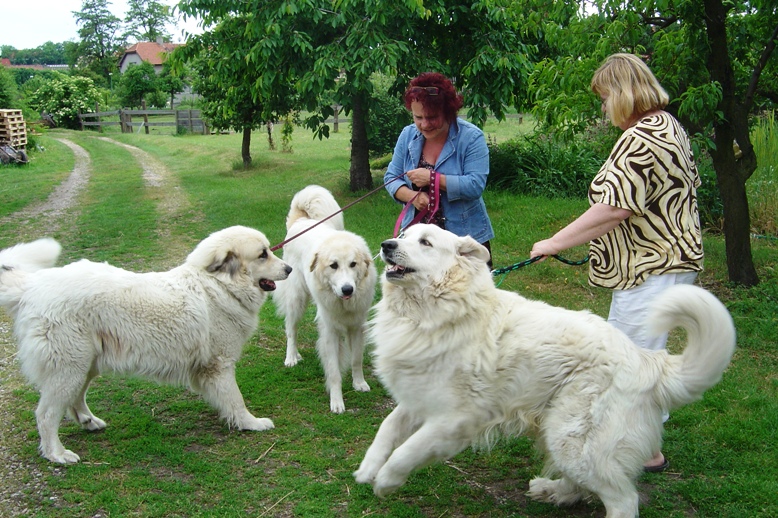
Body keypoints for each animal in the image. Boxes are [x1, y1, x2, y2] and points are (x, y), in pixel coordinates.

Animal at [0, 228, 292, 468]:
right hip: (68, 367)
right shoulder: (220, 366)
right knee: (46, 414)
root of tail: (32, 286)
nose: (289, 268)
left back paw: (89, 421)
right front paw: (251, 423)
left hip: (84, 365)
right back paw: (57, 454)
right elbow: (236, 400)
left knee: (75, 398)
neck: (218, 286)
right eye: (263, 254)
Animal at [272, 186, 376, 414]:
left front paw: (359, 383)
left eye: (353, 264)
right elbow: (334, 372)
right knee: (291, 330)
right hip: (296, 300)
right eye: (333, 265)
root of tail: (301, 221)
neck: (342, 302)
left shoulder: (357, 326)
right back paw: (291, 357)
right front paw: (336, 402)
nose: (347, 289)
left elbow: (356, 359)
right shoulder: (329, 331)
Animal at [354, 225, 736, 518]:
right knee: (583, 485)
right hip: (559, 432)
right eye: (403, 235)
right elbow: (387, 430)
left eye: (426, 243)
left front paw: (386, 480)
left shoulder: (453, 420)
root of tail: (645, 360)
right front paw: (368, 468)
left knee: (623, 499)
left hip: (573, 440)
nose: (387, 245)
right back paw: (552, 491)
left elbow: (406, 451)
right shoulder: (418, 399)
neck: (436, 313)